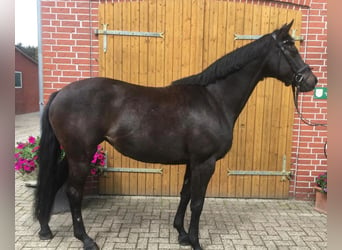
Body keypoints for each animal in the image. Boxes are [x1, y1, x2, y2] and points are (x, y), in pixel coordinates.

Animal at [35, 21, 318, 250]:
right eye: (290, 48)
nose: (311, 81)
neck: (214, 99)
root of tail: (60, 93)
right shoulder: (205, 162)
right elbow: (198, 202)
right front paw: (195, 241)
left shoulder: (193, 162)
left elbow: (185, 195)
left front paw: (181, 234)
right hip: (81, 155)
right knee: (73, 192)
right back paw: (86, 239)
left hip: (74, 154)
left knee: (53, 183)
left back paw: (45, 228)